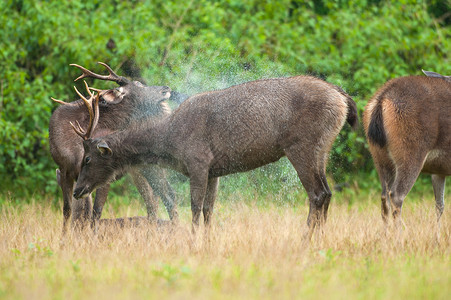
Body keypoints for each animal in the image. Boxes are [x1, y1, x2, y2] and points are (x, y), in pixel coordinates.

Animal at [48, 62, 177, 232]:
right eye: (139, 84)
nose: (166, 88)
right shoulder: (65, 171)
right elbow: (68, 210)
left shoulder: (104, 173)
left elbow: (95, 211)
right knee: (153, 200)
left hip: (150, 165)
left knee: (166, 196)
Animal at [71, 75, 356, 237]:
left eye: (88, 159)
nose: (77, 190)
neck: (171, 142)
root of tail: (343, 98)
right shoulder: (215, 170)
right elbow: (209, 209)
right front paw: (208, 241)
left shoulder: (198, 161)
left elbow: (195, 207)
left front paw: (193, 240)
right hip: (322, 148)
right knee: (327, 192)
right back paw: (319, 239)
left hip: (303, 145)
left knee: (317, 194)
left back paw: (305, 239)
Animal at [364, 70, 451, 225]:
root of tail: (381, 99)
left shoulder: (439, 170)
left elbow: (439, 205)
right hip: (411, 151)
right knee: (396, 195)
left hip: (379, 157)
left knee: (384, 197)